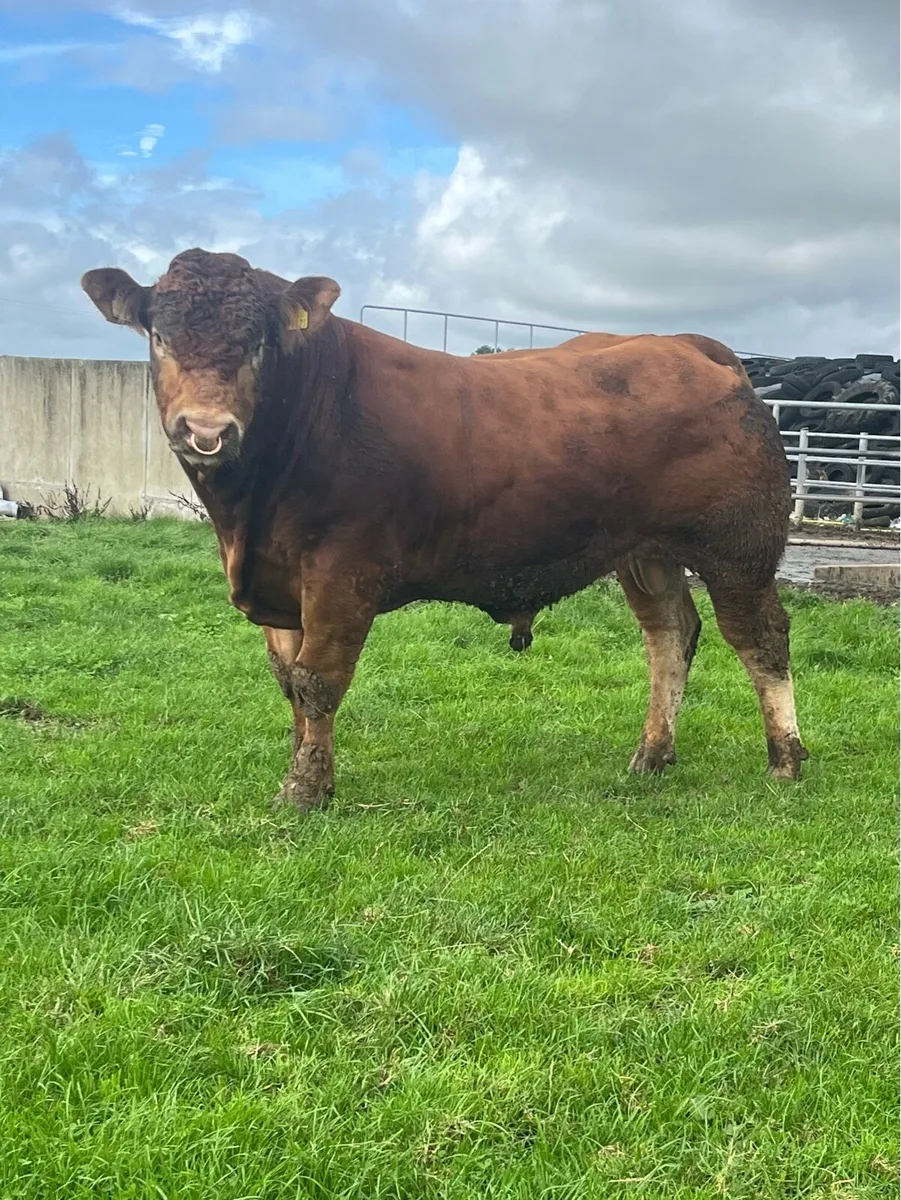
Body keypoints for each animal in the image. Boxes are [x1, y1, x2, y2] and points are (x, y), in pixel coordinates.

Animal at [81, 248, 807, 811]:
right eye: (158, 335)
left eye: (259, 341)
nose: (206, 429)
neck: (247, 517)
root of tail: (689, 345)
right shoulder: (280, 585)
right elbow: (289, 683)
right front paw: (308, 769)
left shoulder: (342, 572)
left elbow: (318, 681)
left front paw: (305, 791)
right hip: (644, 553)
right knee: (670, 635)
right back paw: (652, 754)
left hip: (738, 549)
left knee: (759, 638)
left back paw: (785, 759)